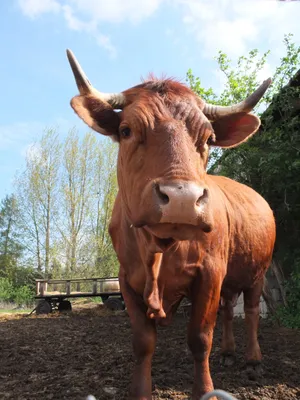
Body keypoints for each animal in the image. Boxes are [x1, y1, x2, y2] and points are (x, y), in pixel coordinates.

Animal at [67, 50, 276, 400]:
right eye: (126, 130)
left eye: (208, 138)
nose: (182, 198)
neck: (158, 250)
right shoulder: (127, 280)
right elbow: (143, 343)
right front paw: (140, 391)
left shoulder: (209, 273)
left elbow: (200, 339)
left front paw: (205, 390)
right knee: (228, 309)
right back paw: (228, 353)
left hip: (257, 272)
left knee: (249, 312)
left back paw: (253, 360)